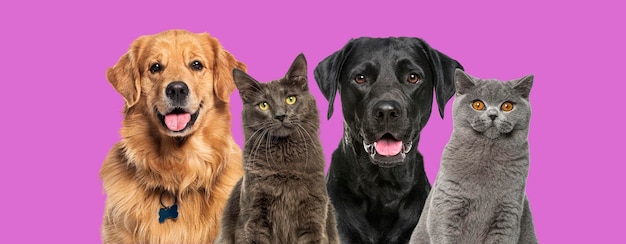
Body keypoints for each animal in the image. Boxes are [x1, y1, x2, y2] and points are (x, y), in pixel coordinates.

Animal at [216, 53, 342, 244]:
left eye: (291, 99)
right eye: (264, 105)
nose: (281, 115)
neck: (284, 163)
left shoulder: (314, 216)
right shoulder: (253, 218)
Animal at [410, 69, 536, 244]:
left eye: (507, 106)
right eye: (478, 104)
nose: (492, 114)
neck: (487, 155)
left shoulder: (508, 213)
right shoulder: (447, 206)